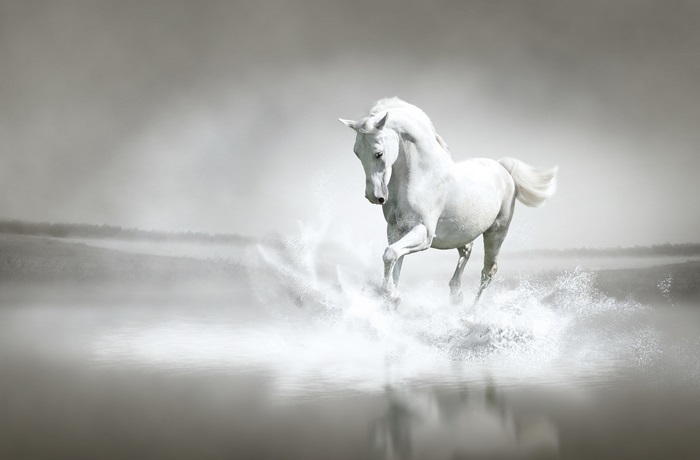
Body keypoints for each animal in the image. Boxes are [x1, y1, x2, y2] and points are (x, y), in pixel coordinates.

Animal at [339, 97, 557, 305]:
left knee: (488, 271)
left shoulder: (424, 233)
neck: (423, 176)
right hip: (462, 232)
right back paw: (456, 295)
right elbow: (394, 261)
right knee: (467, 252)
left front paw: (392, 296)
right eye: (356, 152)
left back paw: (471, 312)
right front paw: (391, 297)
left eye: (379, 153)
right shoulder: (396, 230)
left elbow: (390, 254)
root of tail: (502, 168)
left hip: (496, 232)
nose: (374, 196)